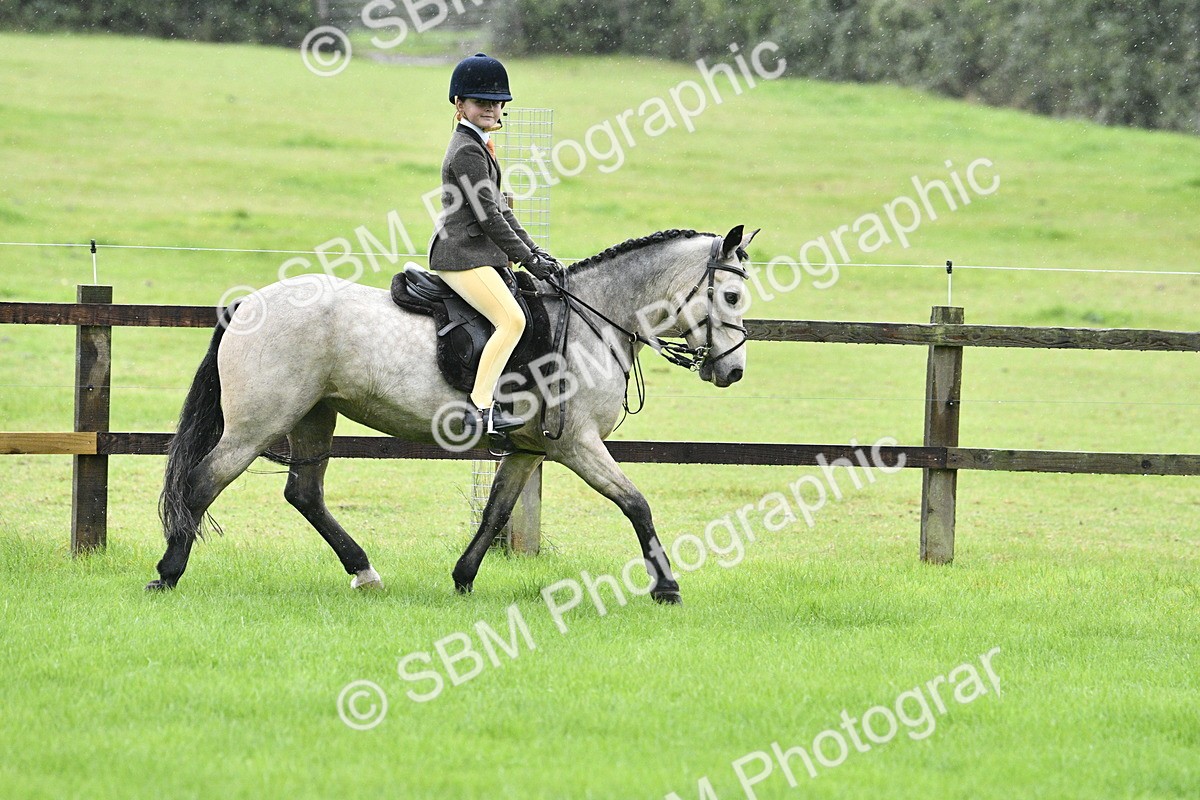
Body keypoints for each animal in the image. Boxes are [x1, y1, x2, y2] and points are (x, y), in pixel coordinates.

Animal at [150, 225, 758, 603]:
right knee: (202, 483)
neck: (595, 320)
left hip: (315, 416)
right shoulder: (576, 445)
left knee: (304, 494)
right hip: (258, 424)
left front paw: (463, 580)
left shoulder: (529, 451)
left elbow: (494, 514)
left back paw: (365, 572)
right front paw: (667, 587)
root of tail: (248, 304)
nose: (733, 372)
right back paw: (167, 574)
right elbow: (636, 503)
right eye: (730, 297)